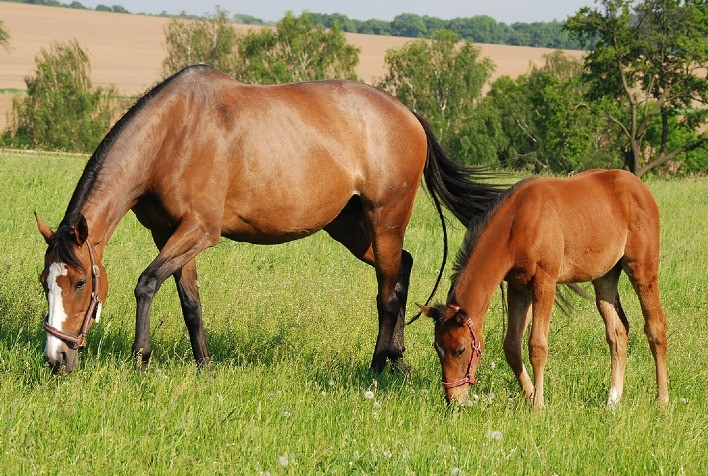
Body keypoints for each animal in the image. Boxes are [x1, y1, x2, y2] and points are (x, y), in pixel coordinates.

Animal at [36, 64, 500, 376]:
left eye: (80, 282)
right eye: (45, 283)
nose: (56, 358)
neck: (173, 133)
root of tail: (409, 114)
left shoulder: (199, 231)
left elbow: (146, 284)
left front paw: (141, 358)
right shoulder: (169, 234)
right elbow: (190, 302)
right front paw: (205, 365)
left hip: (384, 219)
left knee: (388, 293)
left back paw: (376, 368)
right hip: (350, 227)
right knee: (402, 268)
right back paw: (397, 361)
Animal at [420, 170, 668, 410]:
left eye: (461, 349)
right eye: (437, 347)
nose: (453, 401)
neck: (518, 223)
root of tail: (639, 187)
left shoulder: (545, 282)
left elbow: (537, 345)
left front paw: (538, 405)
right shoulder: (518, 287)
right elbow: (512, 345)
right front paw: (530, 395)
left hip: (642, 269)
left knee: (655, 327)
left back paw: (662, 401)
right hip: (604, 278)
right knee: (617, 333)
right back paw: (612, 402)